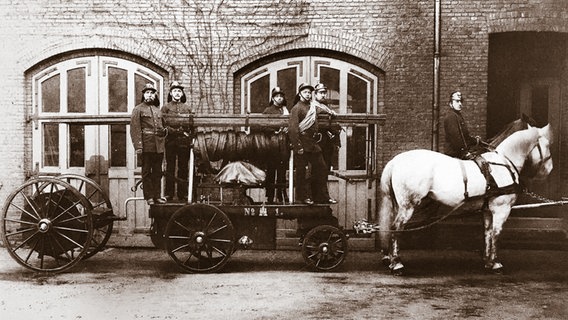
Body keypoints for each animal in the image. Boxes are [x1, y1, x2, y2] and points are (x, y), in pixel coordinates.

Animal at [380, 124, 552, 274]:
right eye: (548, 146)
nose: (549, 171)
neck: (502, 165)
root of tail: (395, 161)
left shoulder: (488, 210)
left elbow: (488, 233)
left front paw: (488, 262)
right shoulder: (501, 209)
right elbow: (496, 233)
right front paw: (496, 264)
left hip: (399, 205)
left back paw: (390, 259)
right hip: (408, 206)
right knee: (396, 228)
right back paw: (397, 264)